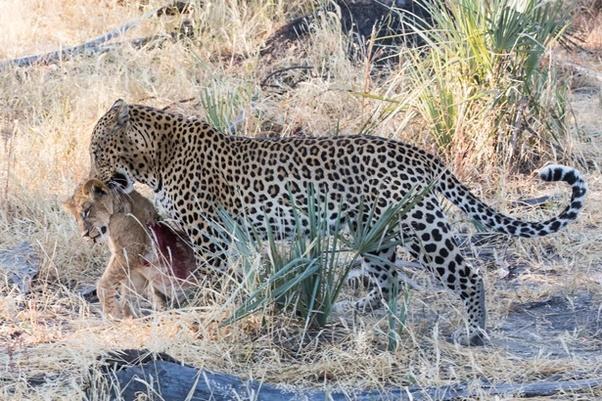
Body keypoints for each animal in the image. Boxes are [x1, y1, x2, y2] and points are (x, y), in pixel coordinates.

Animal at [63, 178, 196, 318]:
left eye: (86, 211)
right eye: (76, 218)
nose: (84, 235)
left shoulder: (129, 252)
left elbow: (104, 284)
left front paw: (112, 314)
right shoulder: (132, 264)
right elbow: (128, 293)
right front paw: (128, 316)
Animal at [86, 97, 584, 344]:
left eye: (95, 149)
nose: (91, 178)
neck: (154, 158)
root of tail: (421, 153)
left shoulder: (211, 237)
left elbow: (210, 279)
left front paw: (205, 312)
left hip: (420, 226)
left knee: (466, 274)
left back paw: (474, 333)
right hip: (373, 232)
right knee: (391, 283)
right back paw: (352, 314)